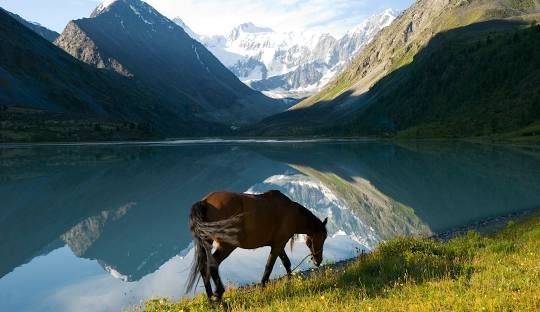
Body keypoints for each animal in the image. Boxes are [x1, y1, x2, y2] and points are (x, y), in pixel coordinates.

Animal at [188, 190, 326, 300]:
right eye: (324, 237)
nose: (317, 261)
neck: (292, 213)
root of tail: (205, 202)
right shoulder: (278, 244)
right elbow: (269, 266)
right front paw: (263, 288)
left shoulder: (278, 244)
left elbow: (286, 263)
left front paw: (290, 282)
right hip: (226, 246)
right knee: (212, 264)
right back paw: (219, 295)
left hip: (207, 242)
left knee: (203, 266)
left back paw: (211, 298)